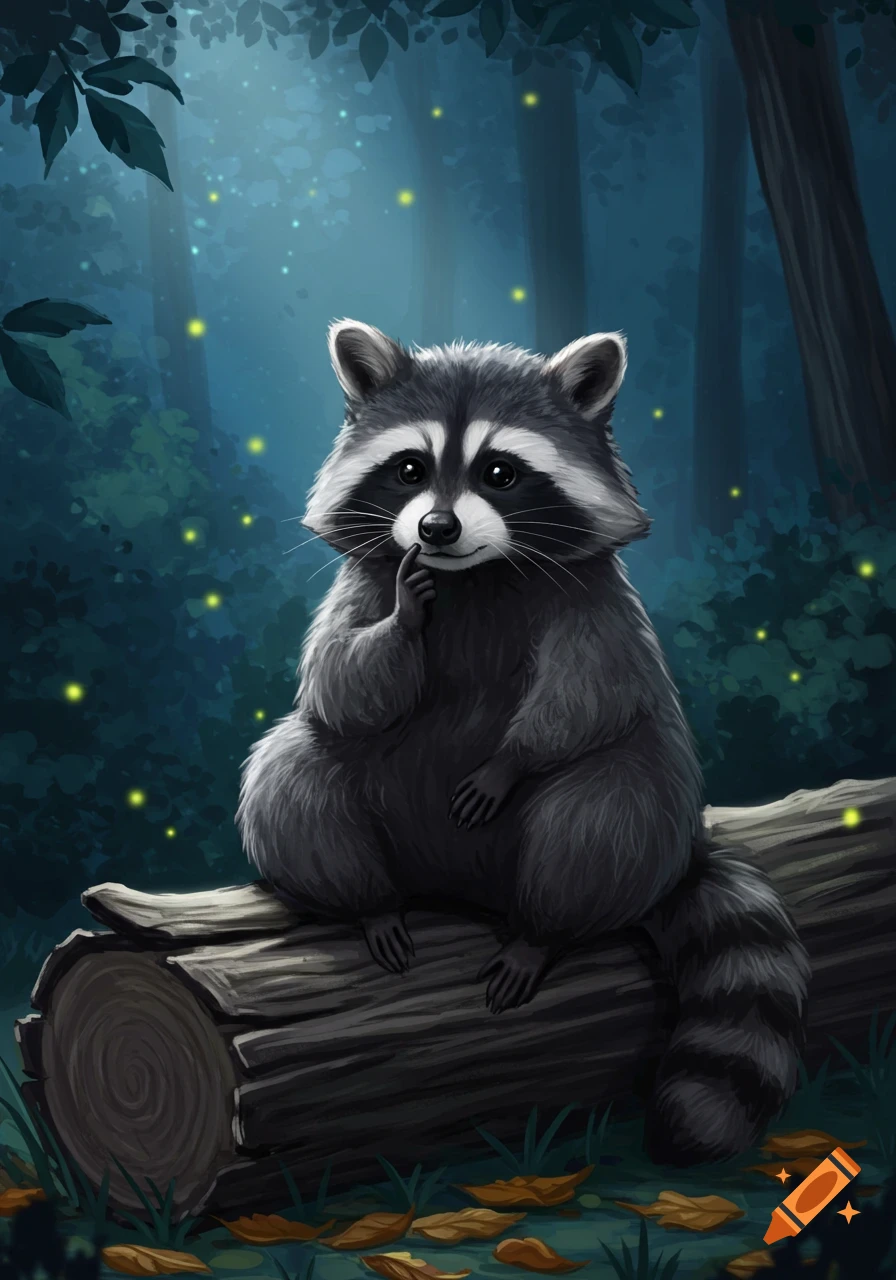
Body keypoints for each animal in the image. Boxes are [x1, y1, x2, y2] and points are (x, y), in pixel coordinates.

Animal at [237, 319, 810, 1167]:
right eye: (409, 469)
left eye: (500, 472)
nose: (436, 529)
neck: (475, 577)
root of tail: (457, 886)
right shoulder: (362, 585)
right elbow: (339, 683)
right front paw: (403, 619)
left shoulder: (595, 601)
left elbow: (591, 692)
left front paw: (510, 762)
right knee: (296, 773)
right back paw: (368, 903)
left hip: (643, 811)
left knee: (601, 813)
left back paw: (543, 931)